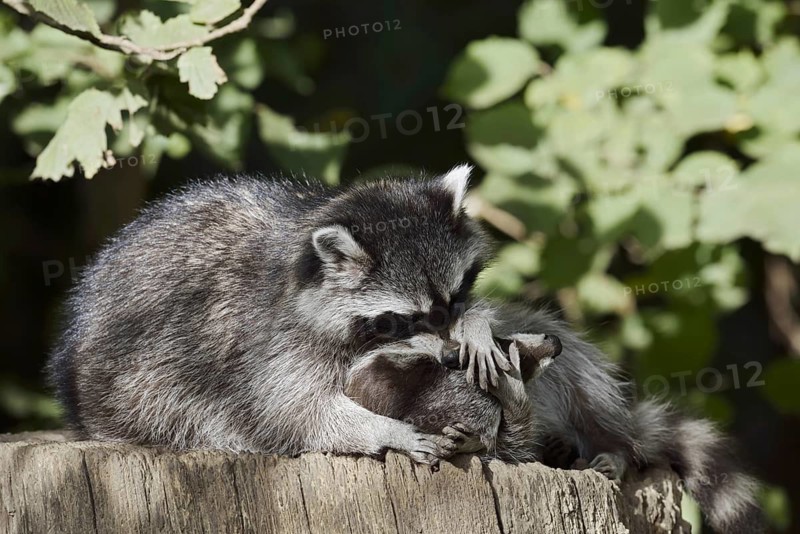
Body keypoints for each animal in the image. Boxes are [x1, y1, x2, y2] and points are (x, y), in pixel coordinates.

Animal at [47, 165, 506, 465]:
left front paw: (476, 327)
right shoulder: (271, 342)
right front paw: (382, 429)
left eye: (456, 296)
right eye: (408, 318)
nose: (450, 356)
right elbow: (295, 412)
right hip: (138, 385)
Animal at [348, 303, 765, 533]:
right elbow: (510, 444)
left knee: (591, 395)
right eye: (503, 345)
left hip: (580, 378)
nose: (553, 342)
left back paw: (612, 448)